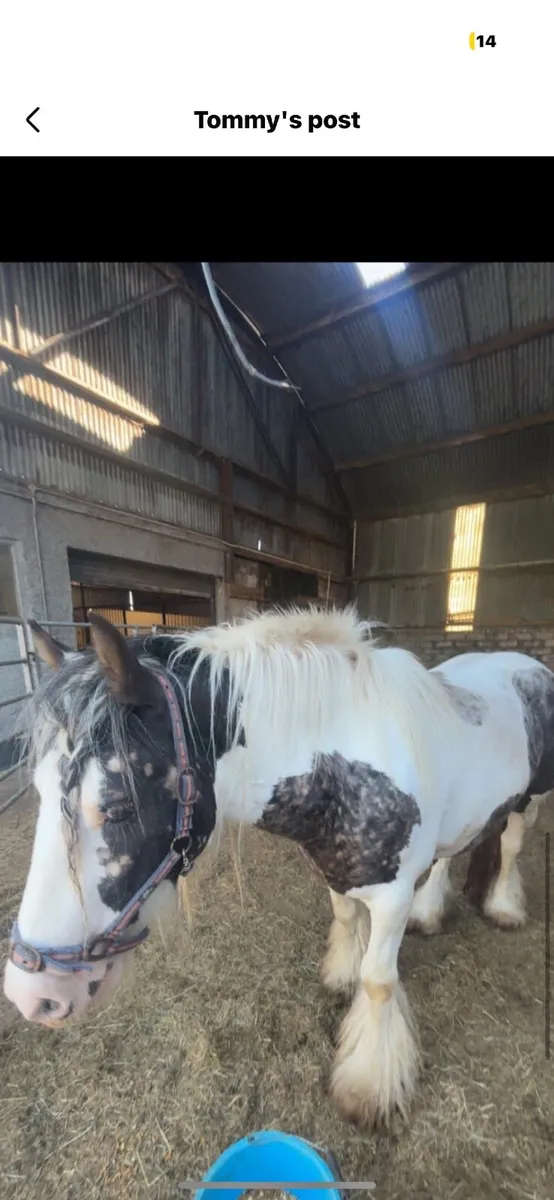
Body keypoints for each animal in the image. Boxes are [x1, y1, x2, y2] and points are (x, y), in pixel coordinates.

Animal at [3, 607, 553, 1133]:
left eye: (118, 806)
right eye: (40, 790)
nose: (32, 996)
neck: (345, 770)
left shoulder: (392, 895)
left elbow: (379, 982)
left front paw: (368, 1088)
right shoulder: (336, 871)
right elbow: (348, 923)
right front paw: (341, 977)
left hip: (531, 801)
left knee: (510, 844)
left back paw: (504, 908)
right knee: (452, 851)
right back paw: (430, 913)